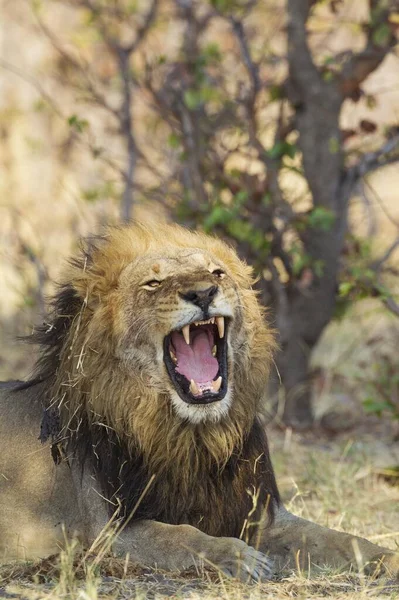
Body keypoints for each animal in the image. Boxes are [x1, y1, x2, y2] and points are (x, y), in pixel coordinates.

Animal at [0, 221, 398, 580]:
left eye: (216, 273)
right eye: (153, 283)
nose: (204, 293)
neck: (195, 438)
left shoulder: (262, 515)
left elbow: (339, 539)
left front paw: (386, 558)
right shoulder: (111, 531)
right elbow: (181, 537)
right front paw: (239, 558)